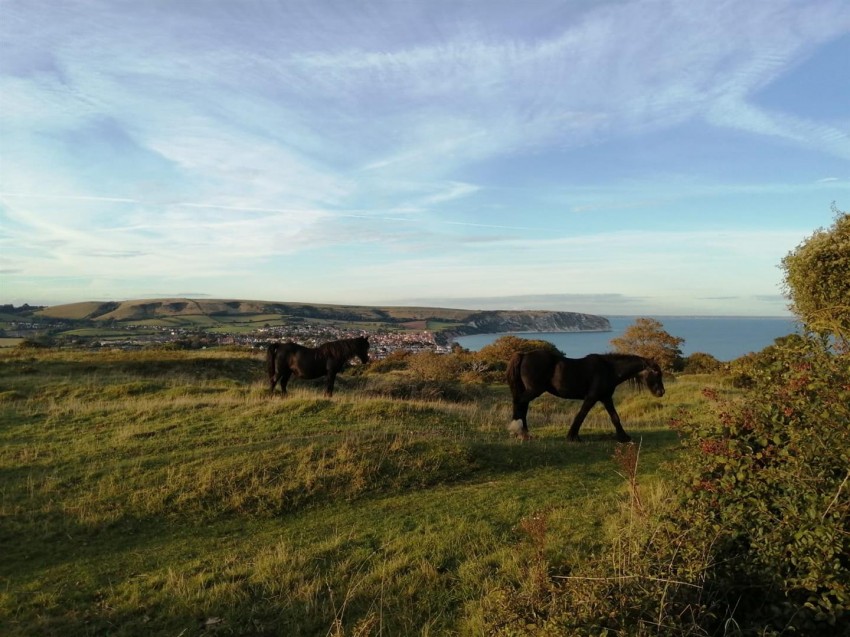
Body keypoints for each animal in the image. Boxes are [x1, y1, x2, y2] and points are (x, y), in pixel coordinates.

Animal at [504, 348, 664, 442]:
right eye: (656, 372)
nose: (661, 392)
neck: (609, 369)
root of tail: (524, 355)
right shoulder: (592, 397)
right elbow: (581, 415)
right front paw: (572, 436)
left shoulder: (606, 398)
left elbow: (615, 417)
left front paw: (623, 437)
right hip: (534, 390)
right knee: (519, 403)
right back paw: (519, 431)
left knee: (522, 405)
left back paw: (524, 433)